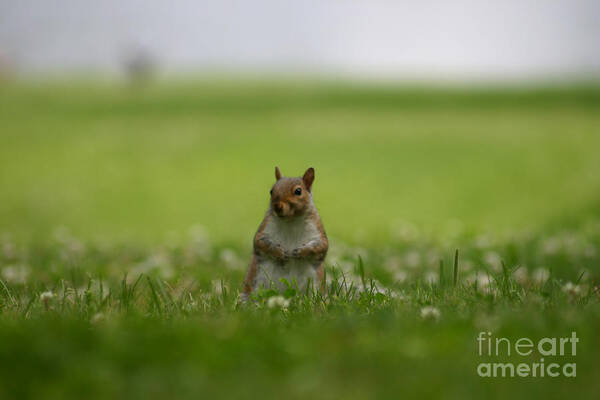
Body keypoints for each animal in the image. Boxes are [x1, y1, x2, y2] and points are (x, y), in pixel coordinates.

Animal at [243, 166, 330, 300]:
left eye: (298, 191)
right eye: (271, 191)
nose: (277, 206)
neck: (291, 220)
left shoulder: (317, 231)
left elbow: (321, 246)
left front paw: (300, 252)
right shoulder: (264, 230)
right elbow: (260, 243)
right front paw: (279, 252)